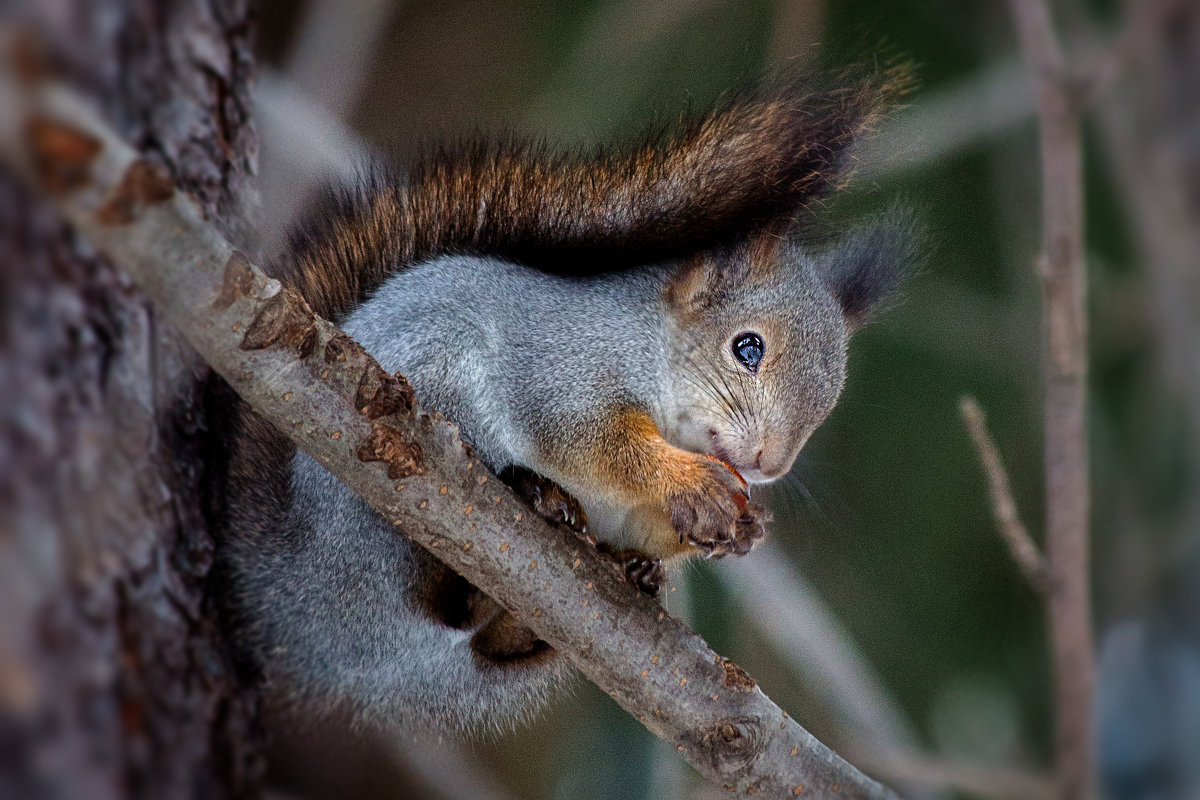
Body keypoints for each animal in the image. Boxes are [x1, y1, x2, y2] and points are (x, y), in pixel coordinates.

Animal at [211, 70, 912, 738]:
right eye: (747, 347)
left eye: (829, 400)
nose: (768, 464)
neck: (652, 353)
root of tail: (306, 607)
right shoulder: (562, 369)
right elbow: (594, 441)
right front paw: (691, 484)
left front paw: (740, 530)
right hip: (398, 450)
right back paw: (530, 494)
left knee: (491, 640)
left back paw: (612, 578)